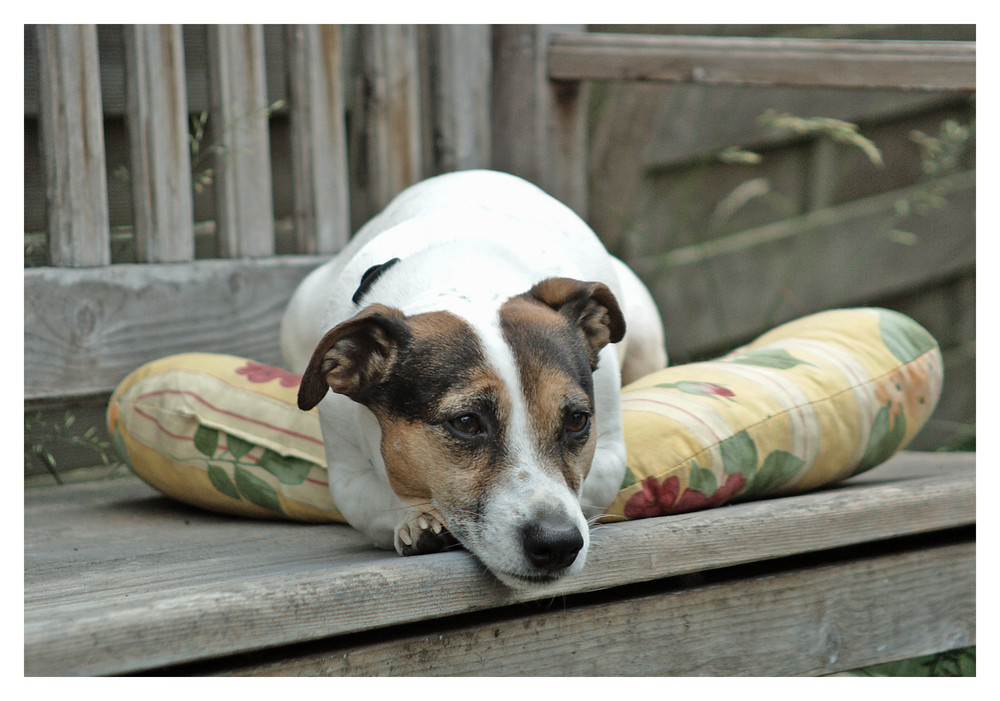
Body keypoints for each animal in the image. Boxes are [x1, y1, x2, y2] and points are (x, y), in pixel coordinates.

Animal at [282, 170, 668, 584]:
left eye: (577, 420)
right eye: (466, 422)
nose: (558, 543)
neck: (462, 276)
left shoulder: (608, 455)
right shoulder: (347, 480)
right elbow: (384, 494)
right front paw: (418, 522)